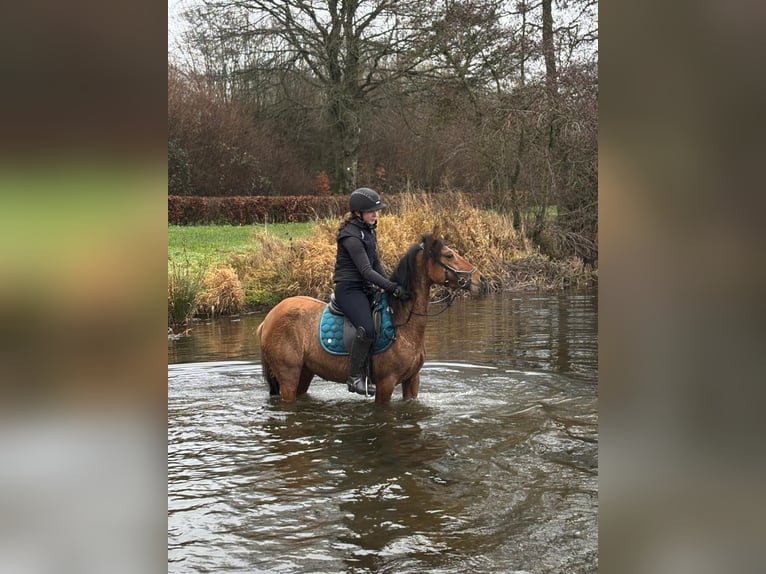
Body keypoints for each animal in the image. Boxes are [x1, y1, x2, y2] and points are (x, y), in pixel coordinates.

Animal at [256, 230, 488, 404]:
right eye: (449, 255)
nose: (482, 280)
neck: (402, 322)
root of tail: (268, 318)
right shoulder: (386, 384)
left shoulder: (412, 380)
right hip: (288, 376)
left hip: (305, 372)